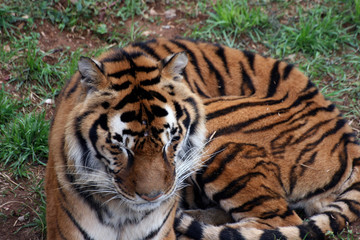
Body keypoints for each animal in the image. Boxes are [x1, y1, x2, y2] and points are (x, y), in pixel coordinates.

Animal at [45, 38, 360, 240]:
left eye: (171, 141)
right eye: (120, 145)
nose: (153, 197)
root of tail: (348, 137)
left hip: (218, 136)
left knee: (279, 222)